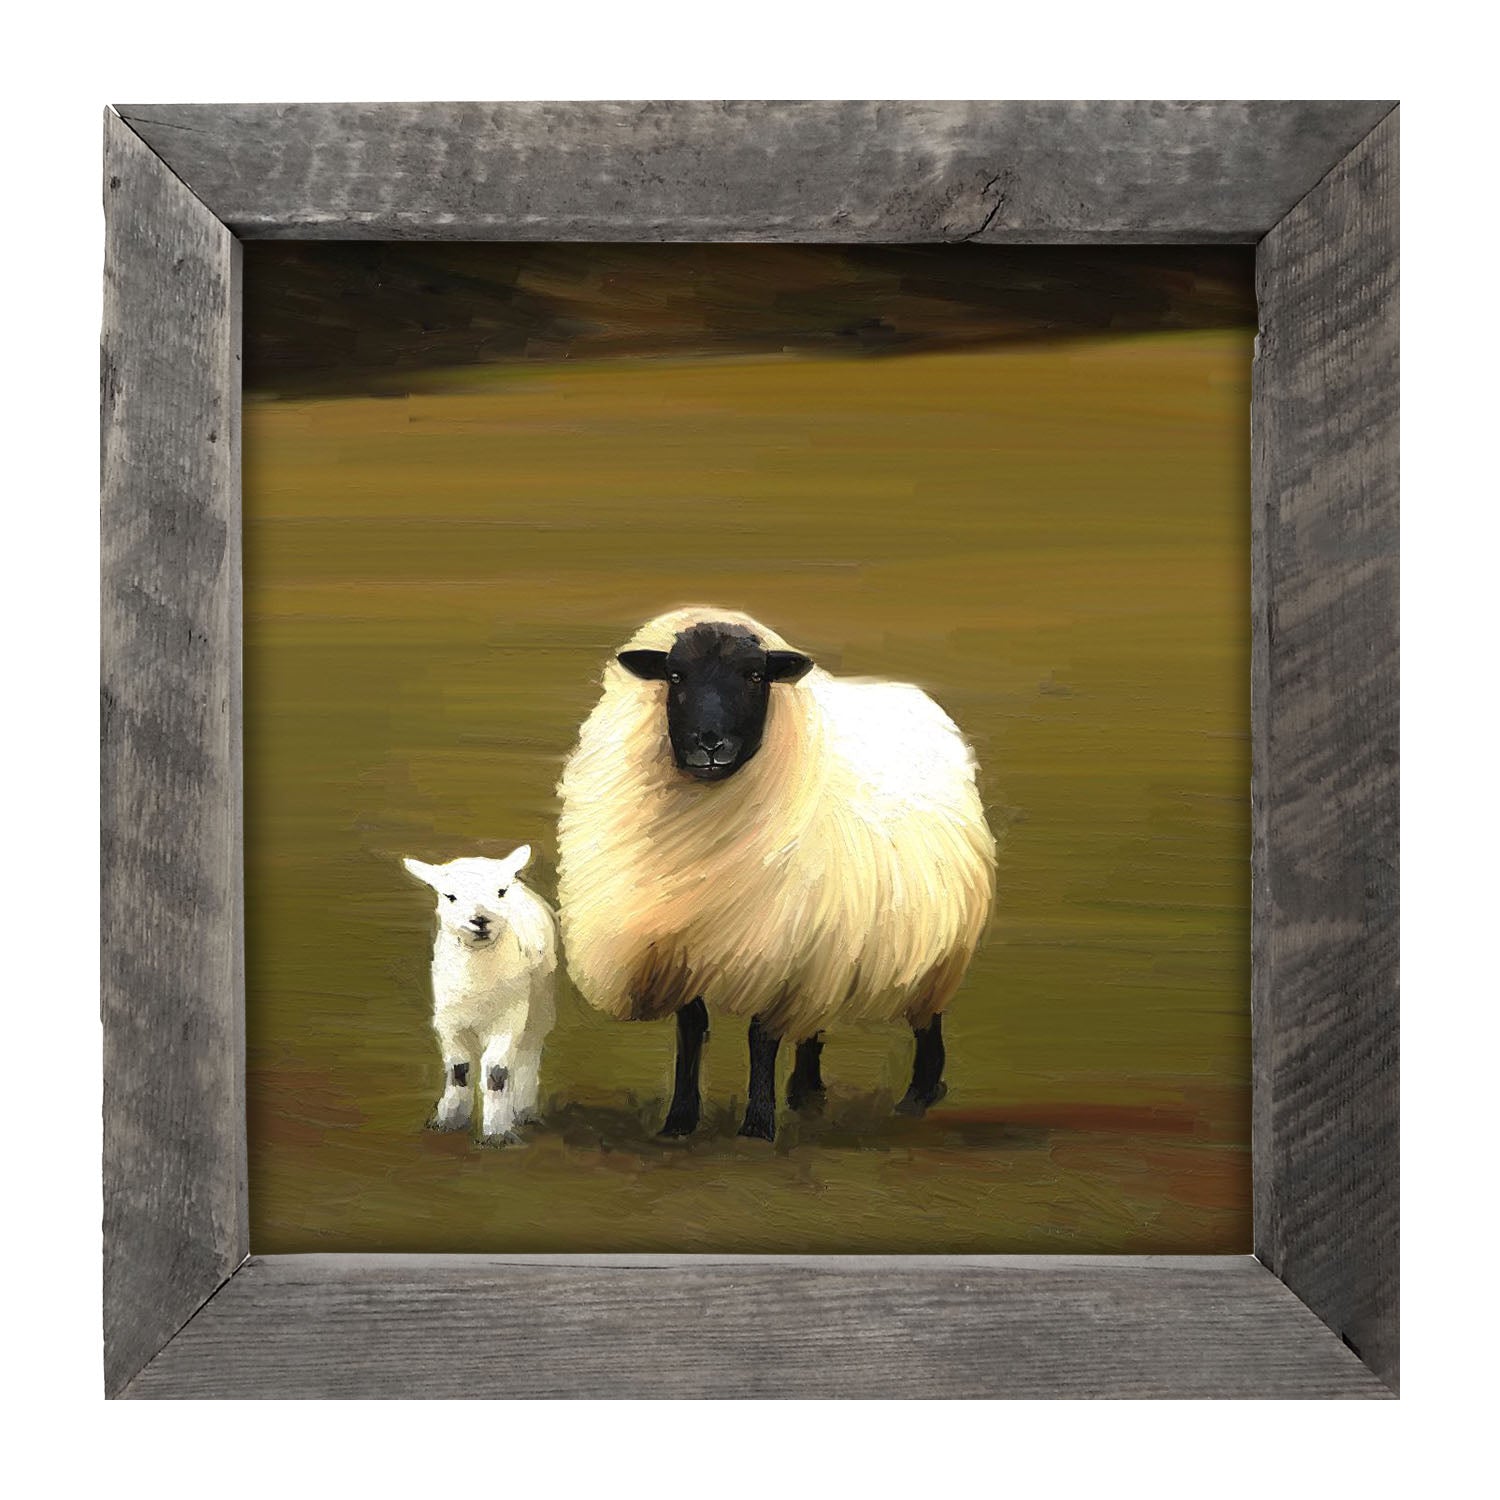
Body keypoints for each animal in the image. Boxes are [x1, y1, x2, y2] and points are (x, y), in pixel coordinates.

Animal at [402, 846, 558, 1141]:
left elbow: (497, 1072)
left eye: (500, 892)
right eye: (449, 896)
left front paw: (496, 1133)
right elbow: (459, 1069)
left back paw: (523, 1109)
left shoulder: (508, 1018)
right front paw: (448, 1119)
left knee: (529, 1049)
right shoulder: (448, 1021)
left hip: (539, 1002)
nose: (480, 920)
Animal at [556, 606, 995, 1141]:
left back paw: (918, 1095)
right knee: (812, 1018)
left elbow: (760, 1036)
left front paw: (757, 1125)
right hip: (830, 940)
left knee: (926, 1016)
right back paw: (805, 1092)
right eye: (675, 676)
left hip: (933, 941)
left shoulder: (777, 947)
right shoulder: (681, 943)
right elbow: (691, 1028)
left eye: (755, 676)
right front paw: (680, 1119)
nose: (708, 743)